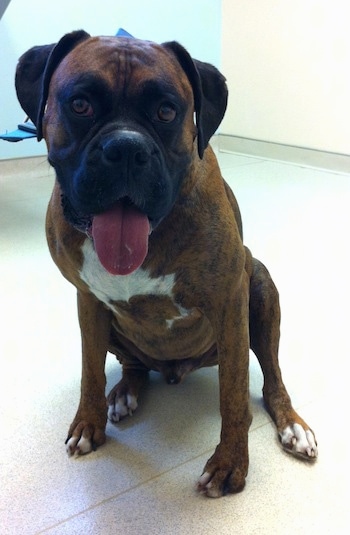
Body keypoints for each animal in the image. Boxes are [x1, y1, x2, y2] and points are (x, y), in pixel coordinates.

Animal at [15, 30, 318, 498]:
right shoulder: (87, 302)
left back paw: (292, 425)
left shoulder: (230, 300)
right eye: (80, 104)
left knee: (271, 376)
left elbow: (234, 393)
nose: (125, 148)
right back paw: (125, 392)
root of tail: (177, 369)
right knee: (132, 364)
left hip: (260, 287)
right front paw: (88, 422)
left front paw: (230, 463)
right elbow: (89, 371)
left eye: (166, 111)